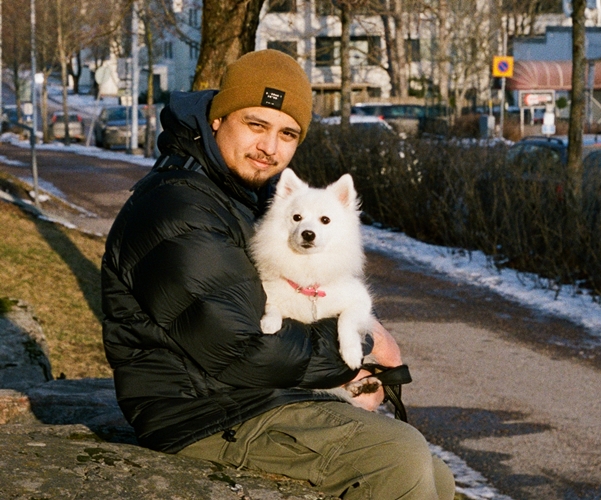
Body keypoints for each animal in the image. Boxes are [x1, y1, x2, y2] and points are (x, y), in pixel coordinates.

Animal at [250, 169, 379, 404]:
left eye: (325, 220)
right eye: (297, 217)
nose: (308, 233)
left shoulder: (361, 302)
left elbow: (346, 320)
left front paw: (352, 352)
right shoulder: (272, 292)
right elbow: (273, 306)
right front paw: (270, 322)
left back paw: (363, 385)